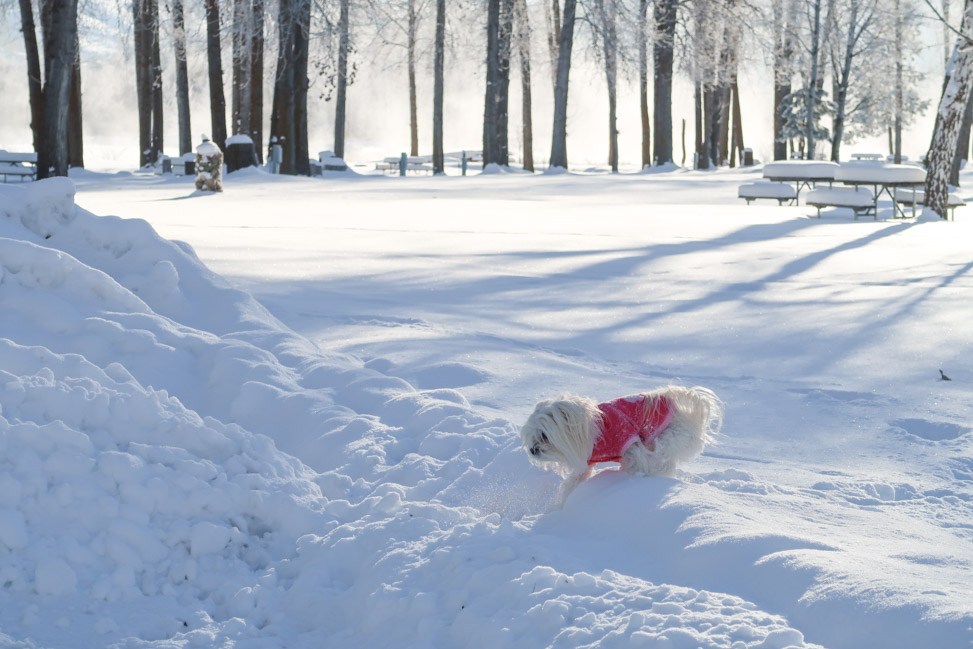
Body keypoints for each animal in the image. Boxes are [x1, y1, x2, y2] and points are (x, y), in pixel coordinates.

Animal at [524, 384, 720, 502]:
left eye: (544, 435)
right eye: (532, 436)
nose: (532, 450)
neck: (591, 430)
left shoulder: (629, 443)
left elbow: (635, 461)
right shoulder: (587, 463)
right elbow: (574, 482)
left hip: (669, 436)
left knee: (662, 458)